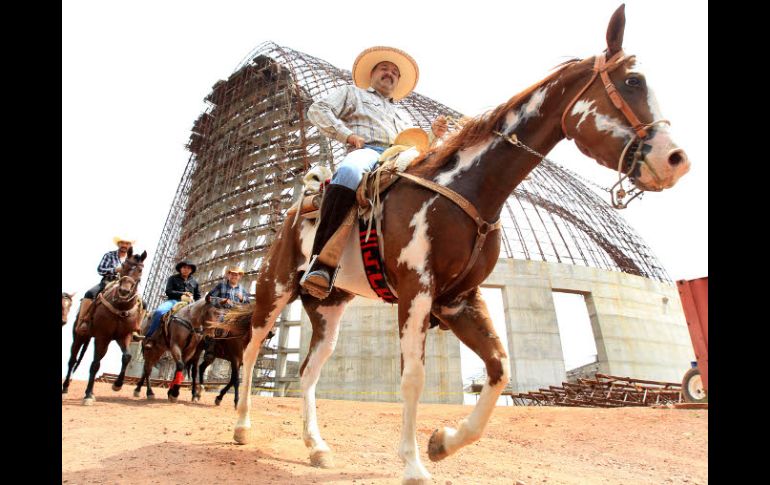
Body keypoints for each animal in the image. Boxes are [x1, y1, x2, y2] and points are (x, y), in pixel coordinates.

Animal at [61, 248, 147, 402]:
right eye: (124, 265)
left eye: (140, 269)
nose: (124, 291)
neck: (121, 307)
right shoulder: (102, 336)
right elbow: (95, 364)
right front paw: (88, 395)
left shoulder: (124, 336)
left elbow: (127, 357)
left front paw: (117, 385)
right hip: (79, 335)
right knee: (72, 360)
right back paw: (65, 388)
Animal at [213, 5, 688, 482]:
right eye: (633, 81)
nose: (675, 160)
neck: (464, 189)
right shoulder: (416, 292)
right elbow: (413, 377)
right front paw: (413, 463)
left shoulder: (459, 299)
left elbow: (499, 368)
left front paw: (442, 443)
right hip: (274, 290)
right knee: (252, 350)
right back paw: (241, 426)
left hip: (328, 307)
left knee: (309, 372)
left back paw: (316, 446)